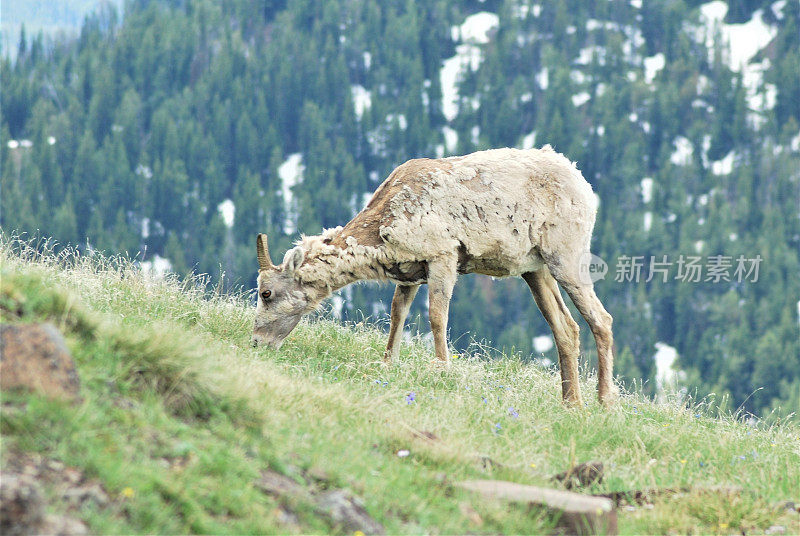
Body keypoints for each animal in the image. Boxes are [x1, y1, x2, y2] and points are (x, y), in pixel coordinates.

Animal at [253, 147, 616, 406]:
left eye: (266, 293)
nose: (256, 342)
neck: (382, 227)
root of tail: (584, 186)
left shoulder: (442, 257)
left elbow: (437, 317)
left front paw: (441, 368)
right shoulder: (409, 274)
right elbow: (397, 315)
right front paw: (388, 364)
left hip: (565, 257)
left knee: (601, 319)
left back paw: (604, 401)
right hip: (534, 270)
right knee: (566, 328)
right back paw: (570, 402)